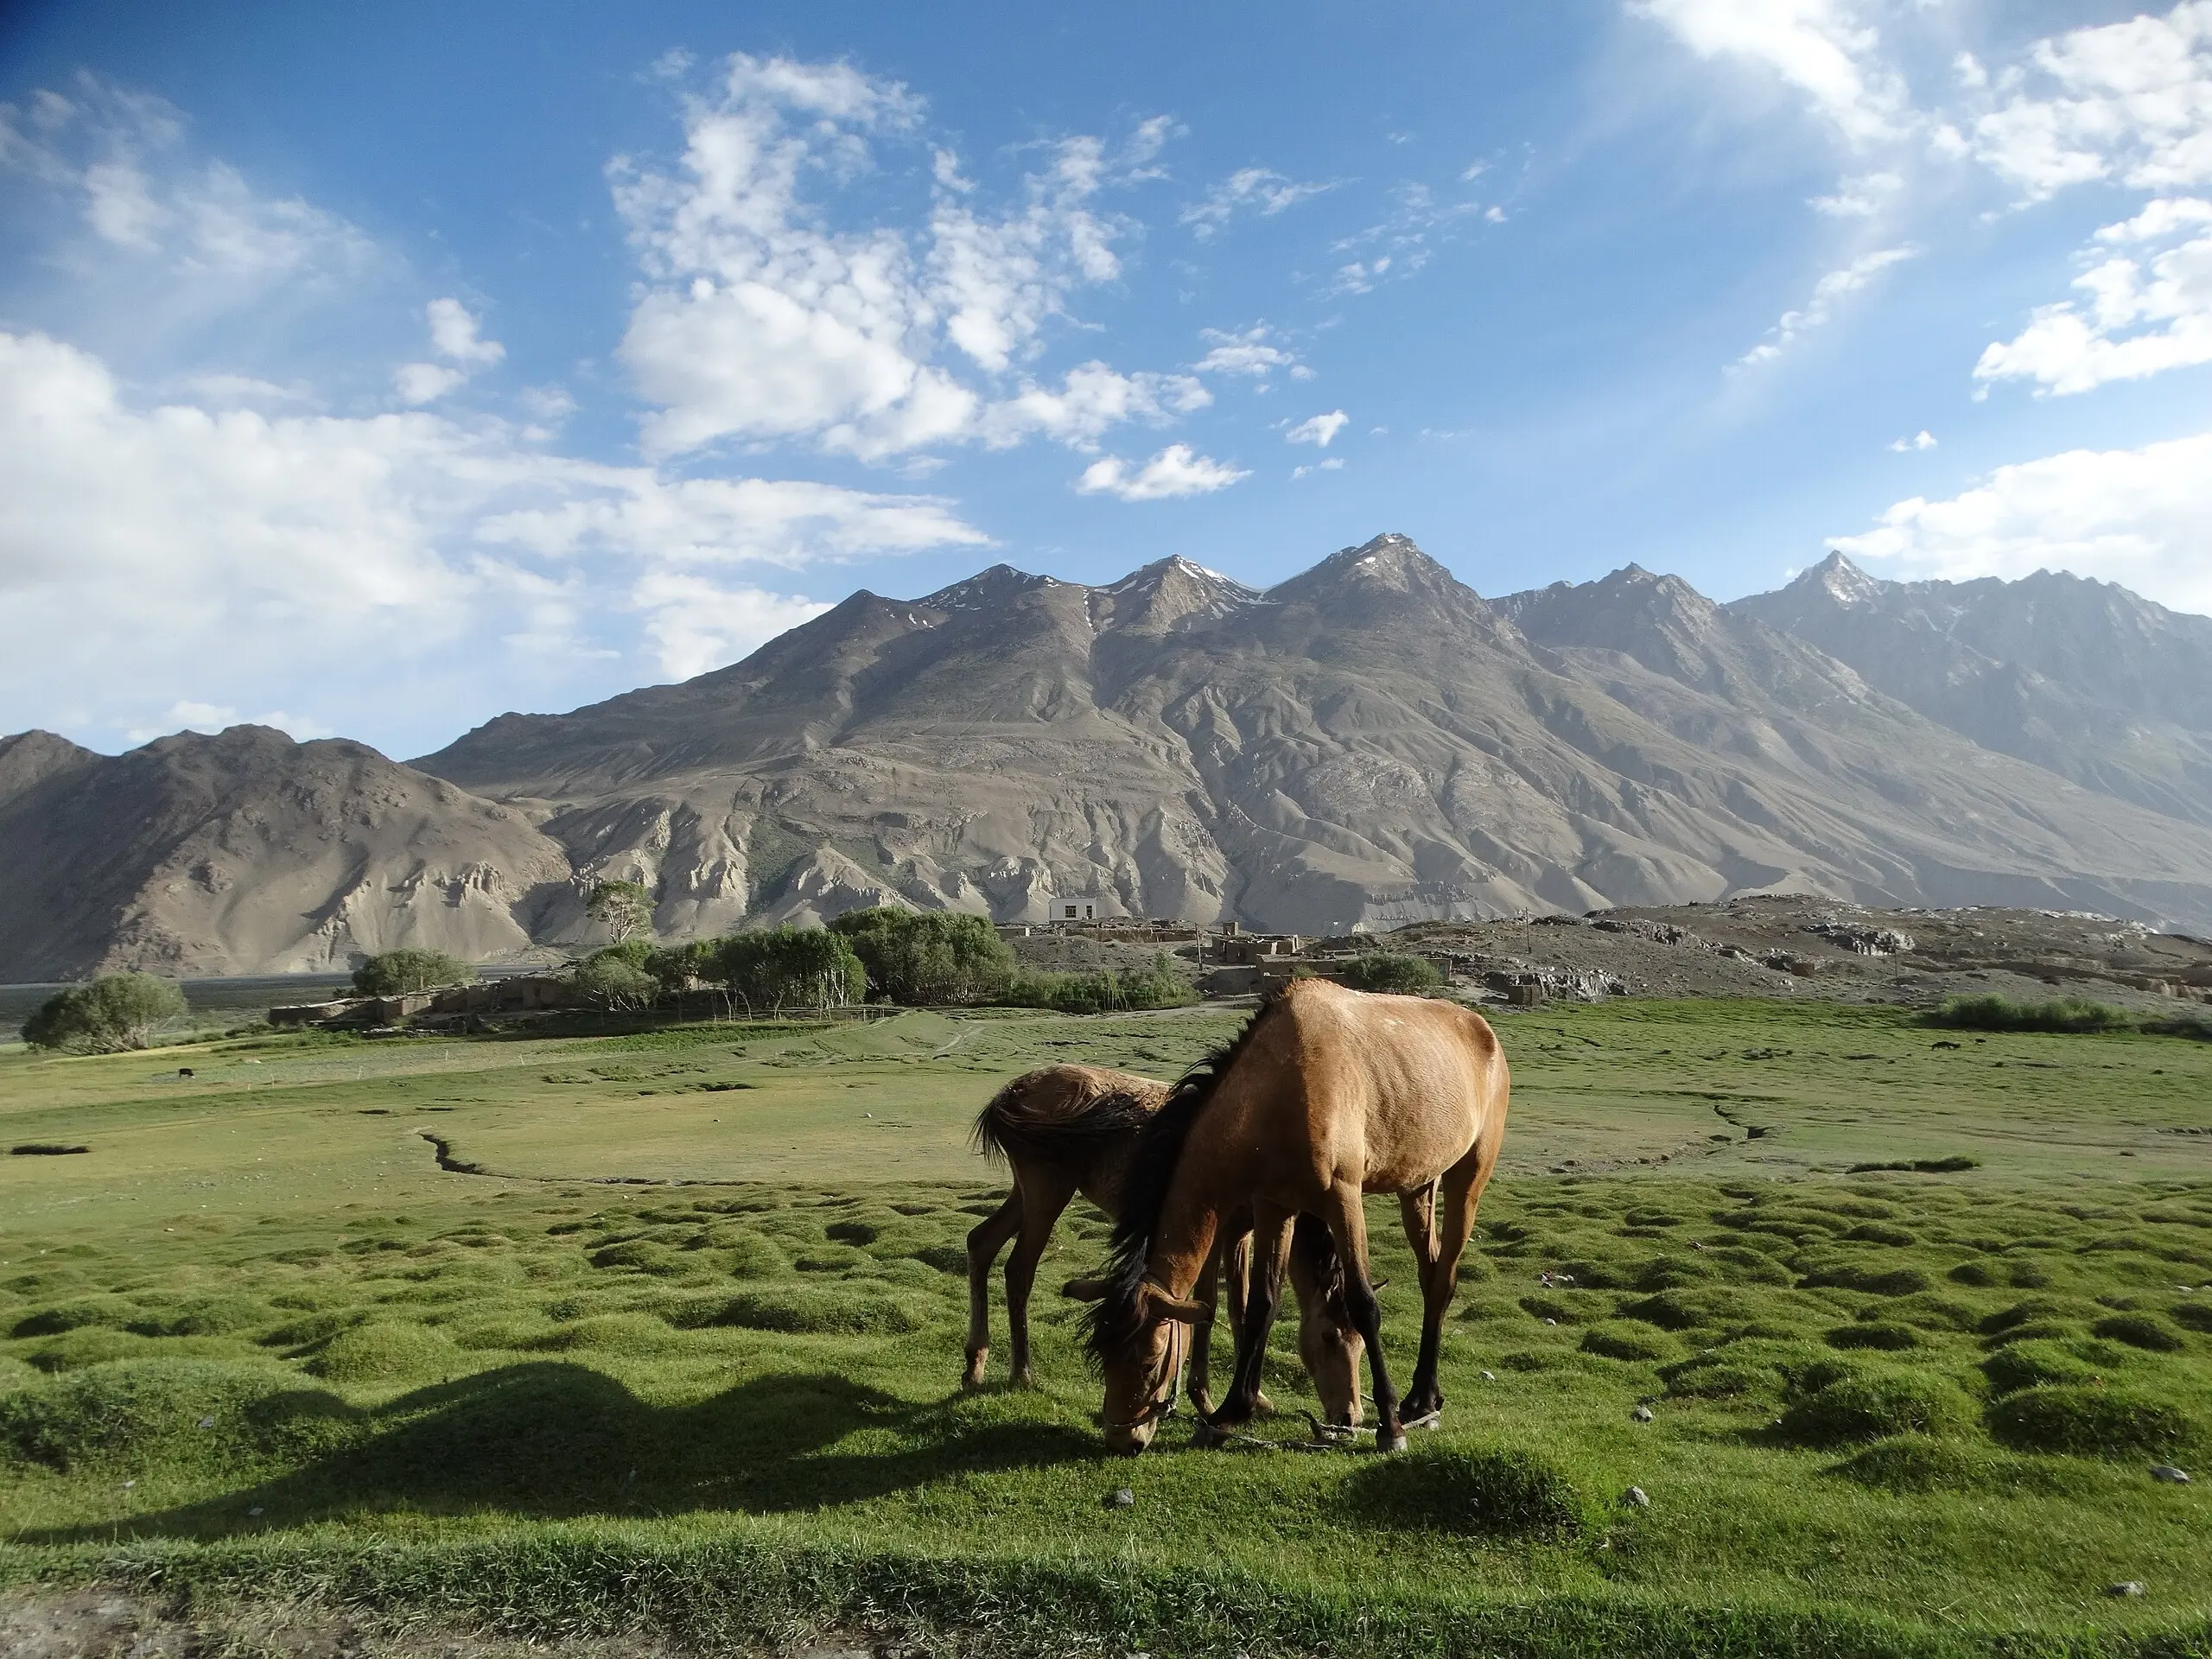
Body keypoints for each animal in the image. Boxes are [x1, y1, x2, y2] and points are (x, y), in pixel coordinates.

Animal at [964, 1063, 1363, 1425]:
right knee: (1019, 1270)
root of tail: (1011, 1094)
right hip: (1047, 1194)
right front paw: (1207, 1398)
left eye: (1361, 1342)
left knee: (981, 1243)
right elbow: (1214, 1305)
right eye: (1329, 1337)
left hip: (1025, 1196)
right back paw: (1022, 1373)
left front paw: (1253, 1397)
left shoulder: (1238, 1233)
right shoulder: (1224, 1231)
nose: (1350, 1416)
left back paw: (974, 1366)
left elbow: (1237, 1306)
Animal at [1072, 980, 1510, 1454]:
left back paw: (1415, 1403)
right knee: (1430, 1277)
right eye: (1103, 1354)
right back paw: (1422, 1399)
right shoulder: (1274, 1208)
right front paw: (1230, 1412)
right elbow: (1261, 1304)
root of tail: (1484, 1032)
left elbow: (1363, 1304)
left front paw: (1389, 1428)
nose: (1122, 1438)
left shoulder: (1343, 1198)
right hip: (1417, 1186)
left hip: (1468, 1178)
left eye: (1152, 1359)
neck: (1279, 1090)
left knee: (1444, 1278)